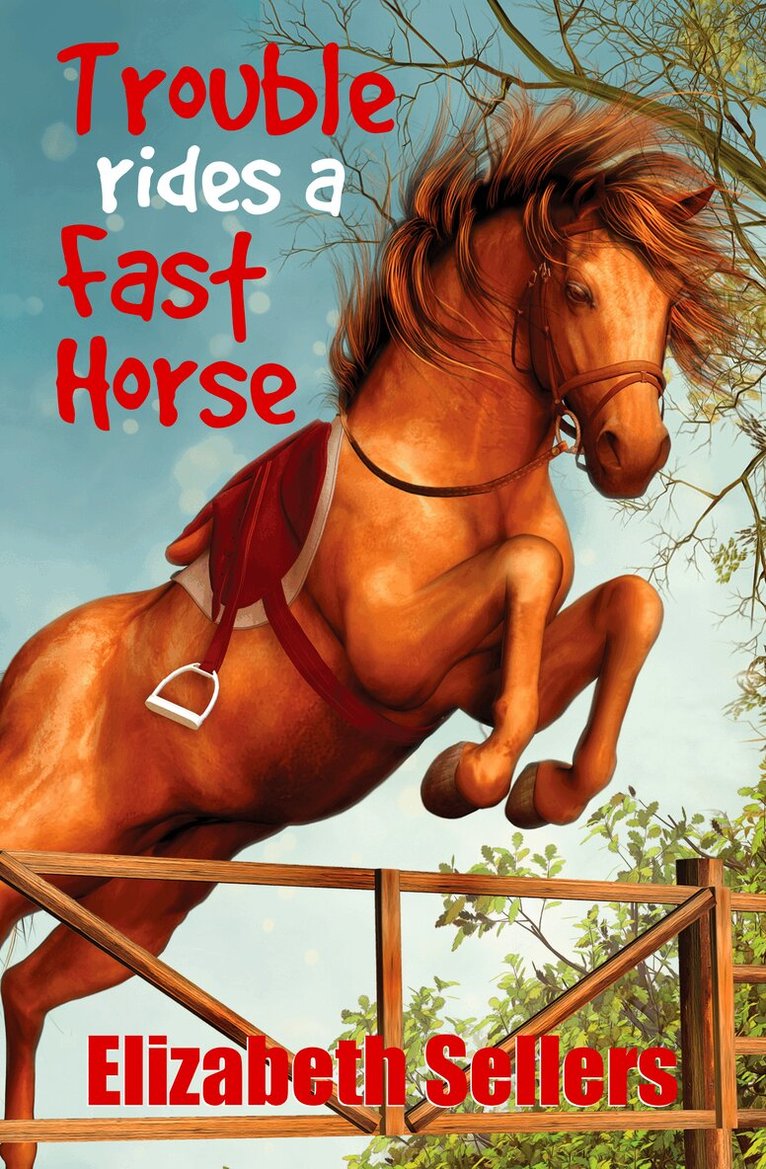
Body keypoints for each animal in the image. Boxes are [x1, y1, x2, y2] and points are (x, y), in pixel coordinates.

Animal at [0, 99, 736, 1167]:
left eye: (671, 296)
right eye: (581, 289)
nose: (630, 455)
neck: (450, 473)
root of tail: (25, 673)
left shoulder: (470, 675)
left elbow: (627, 603)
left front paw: (545, 790)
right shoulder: (399, 658)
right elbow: (528, 568)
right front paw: (469, 779)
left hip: (144, 889)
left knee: (26, 989)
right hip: (45, 830)